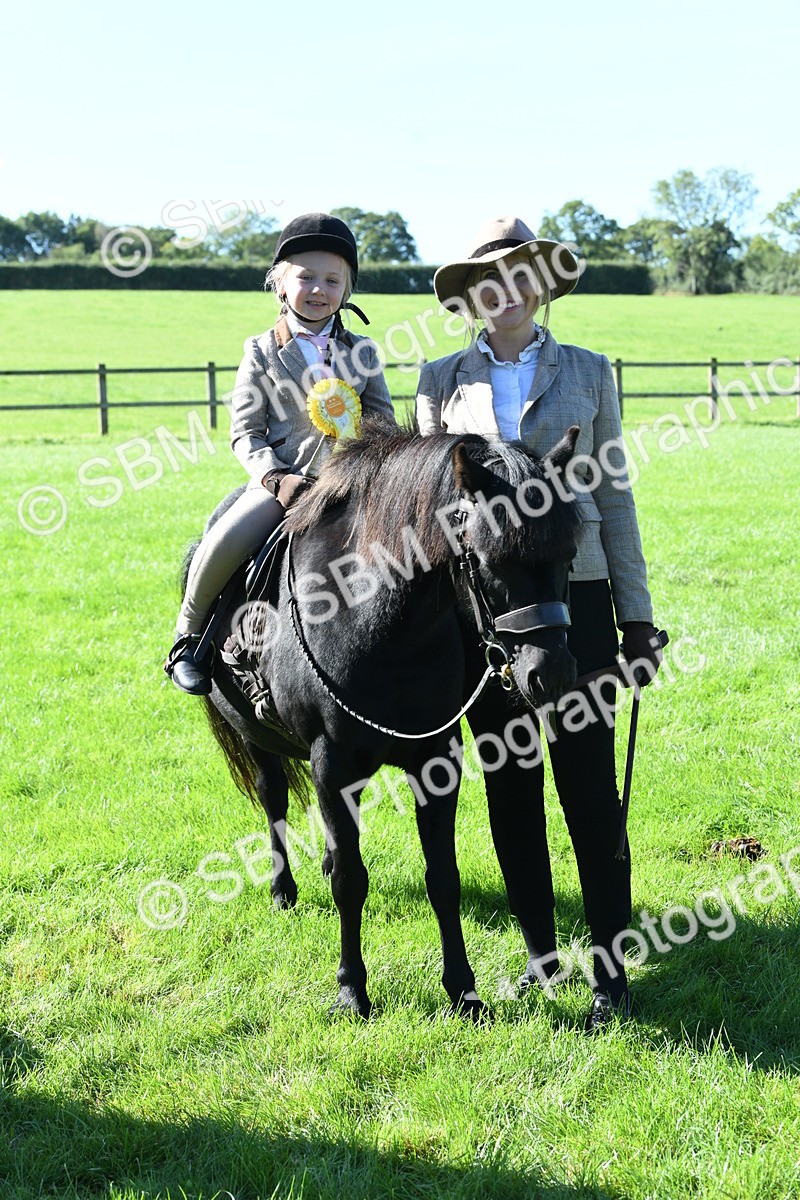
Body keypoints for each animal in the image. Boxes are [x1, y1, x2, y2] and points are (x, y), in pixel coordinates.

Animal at [191, 419, 582, 1019]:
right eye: (488, 560)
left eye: (568, 554)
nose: (552, 673)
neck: (374, 618)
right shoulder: (331, 763)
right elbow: (352, 883)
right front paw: (352, 990)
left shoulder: (436, 761)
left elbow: (442, 877)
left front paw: (463, 990)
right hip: (255, 737)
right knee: (273, 797)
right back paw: (283, 889)